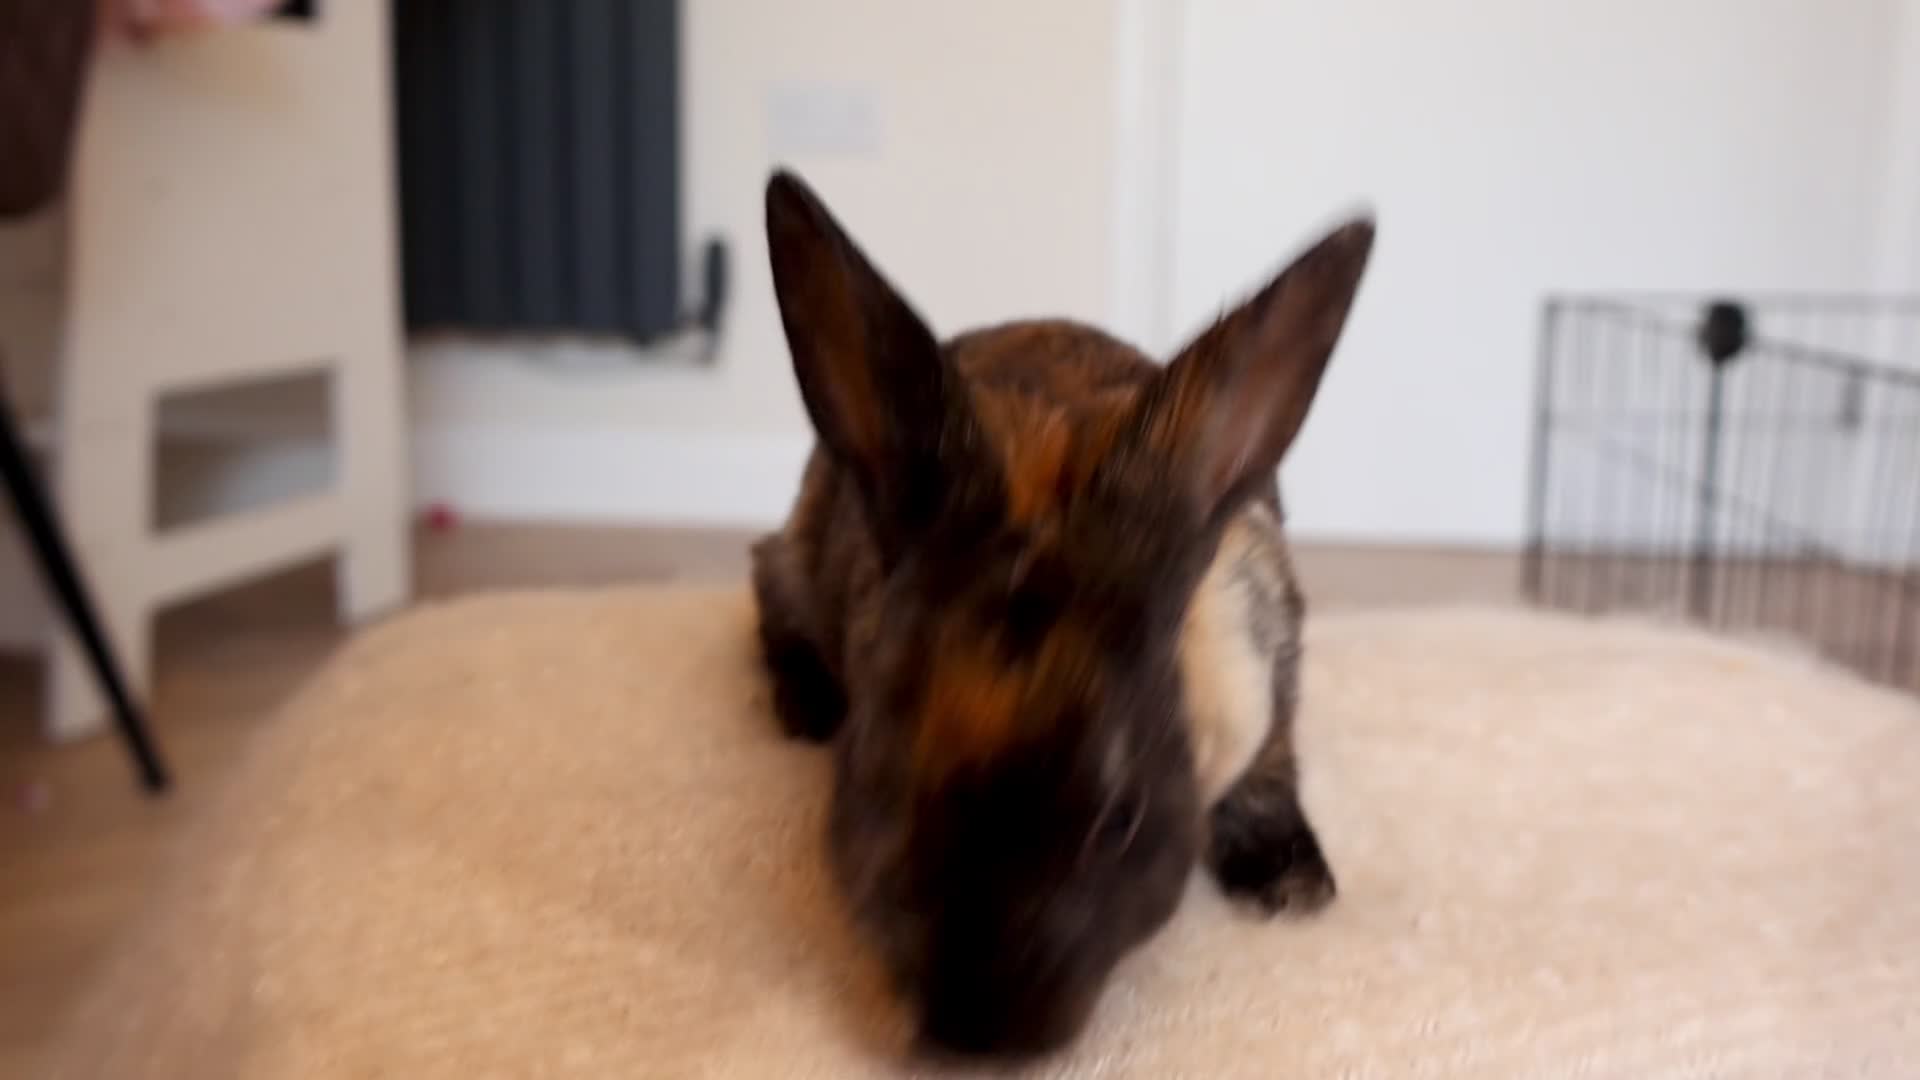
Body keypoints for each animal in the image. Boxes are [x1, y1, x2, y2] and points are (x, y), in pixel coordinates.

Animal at [752, 168, 1374, 1061]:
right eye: (881, 785)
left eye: (1122, 820)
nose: (981, 1039)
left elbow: (1272, 766)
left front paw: (1291, 883)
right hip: (799, 560)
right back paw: (804, 705)